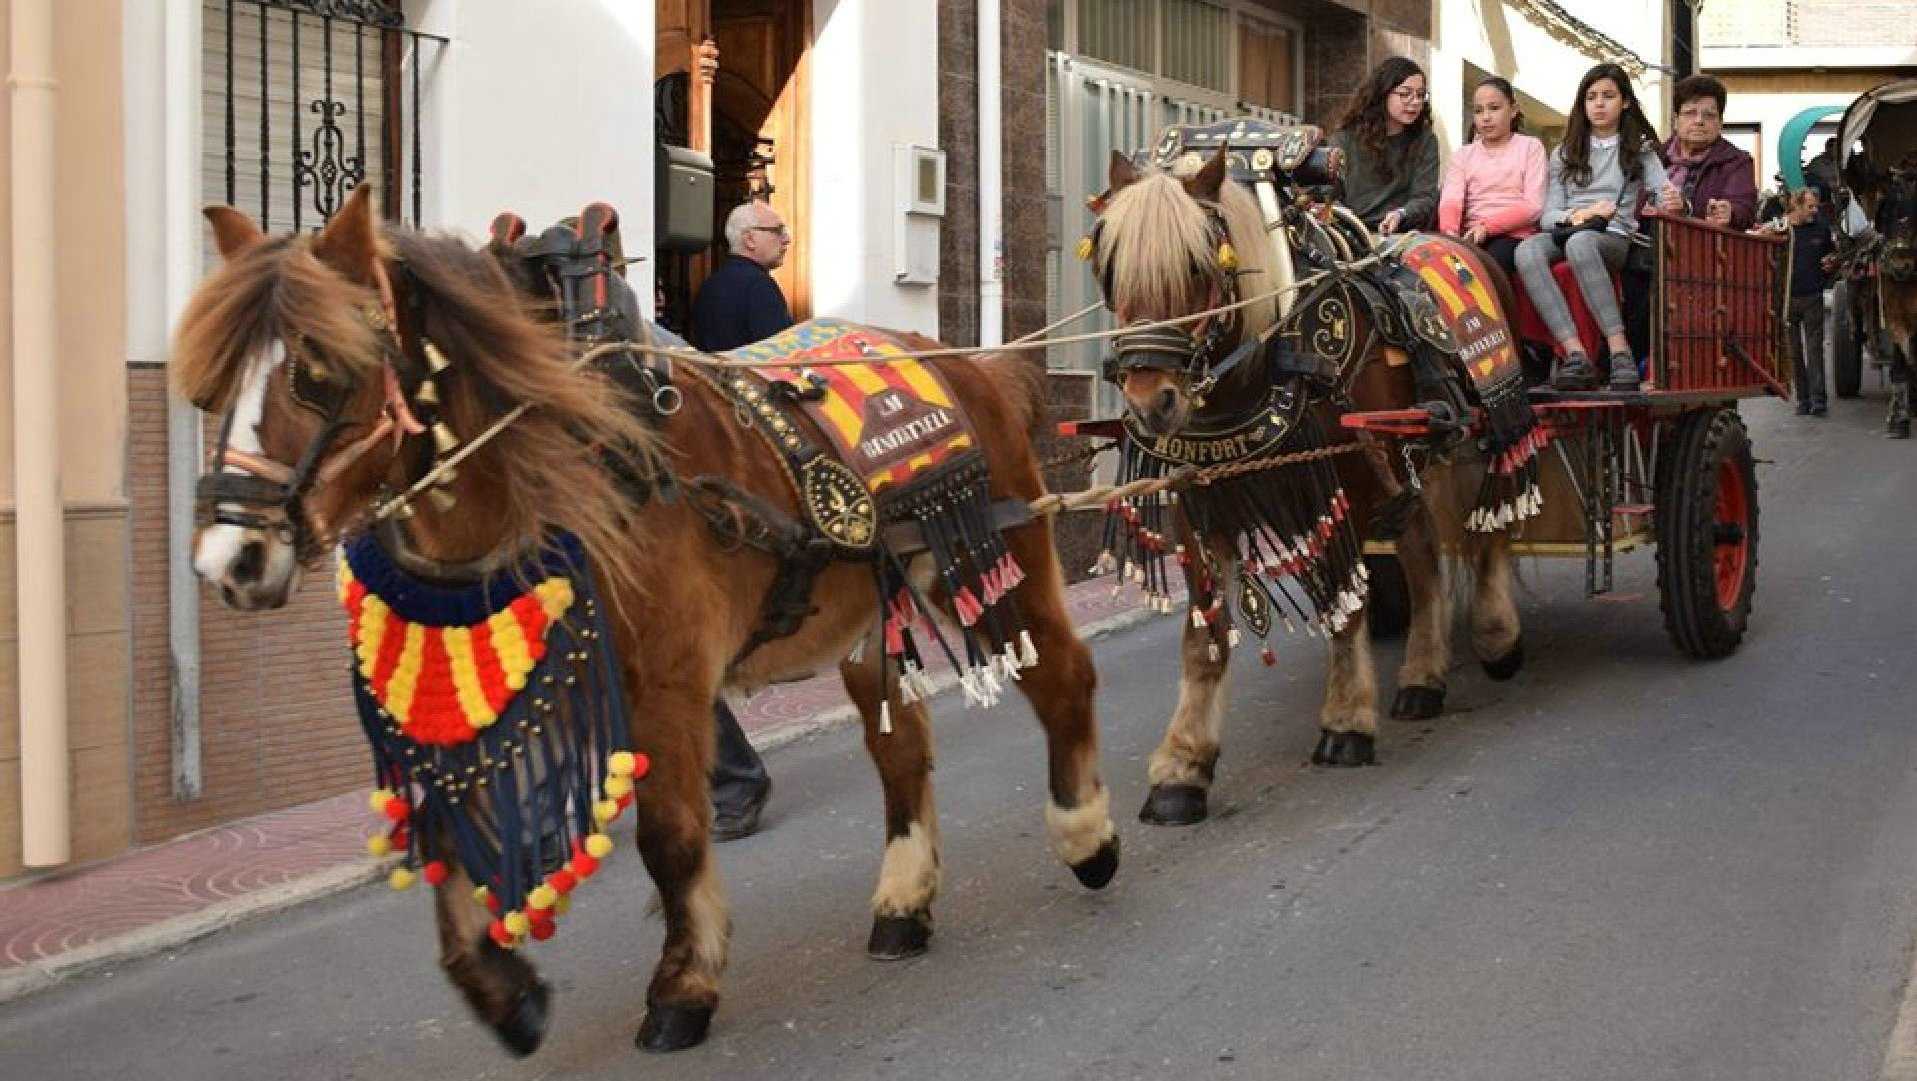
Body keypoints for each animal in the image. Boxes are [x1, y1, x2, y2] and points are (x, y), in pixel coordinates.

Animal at [176, 185, 1119, 1058]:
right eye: (216, 383)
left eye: (317, 372)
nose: (230, 559)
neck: (563, 460)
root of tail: (965, 362)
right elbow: (455, 837)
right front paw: (501, 989)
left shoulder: (664, 680)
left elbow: (668, 837)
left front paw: (683, 985)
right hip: (864, 609)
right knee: (901, 751)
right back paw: (904, 900)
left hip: (996, 555)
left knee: (1060, 672)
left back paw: (1086, 834)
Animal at [1096, 149, 1525, 828]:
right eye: (1111, 270)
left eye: (1197, 265)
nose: (1150, 402)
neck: (1266, 355)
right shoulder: (1199, 503)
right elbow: (1203, 637)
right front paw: (1182, 767)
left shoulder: (1338, 480)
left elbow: (1342, 600)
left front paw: (1347, 721)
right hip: (1402, 462)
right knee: (1424, 555)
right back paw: (1422, 678)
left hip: (1472, 436)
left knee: (1487, 532)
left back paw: (1496, 636)